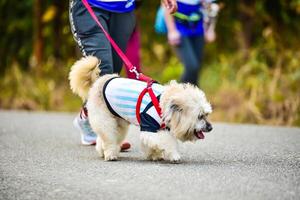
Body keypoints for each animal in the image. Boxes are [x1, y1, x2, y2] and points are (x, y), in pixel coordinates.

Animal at [69, 56, 212, 162]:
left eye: (206, 114)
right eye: (199, 116)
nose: (210, 127)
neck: (162, 104)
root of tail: (100, 80)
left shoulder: (157, 128)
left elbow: (154, 144)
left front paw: (155, 155)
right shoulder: (148, 126)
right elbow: (166, 141)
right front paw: (173, 155)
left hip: (118, 124)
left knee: (105, 138)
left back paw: (102, 151)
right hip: (105, 121)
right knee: (108, 139)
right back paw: (110, 155)